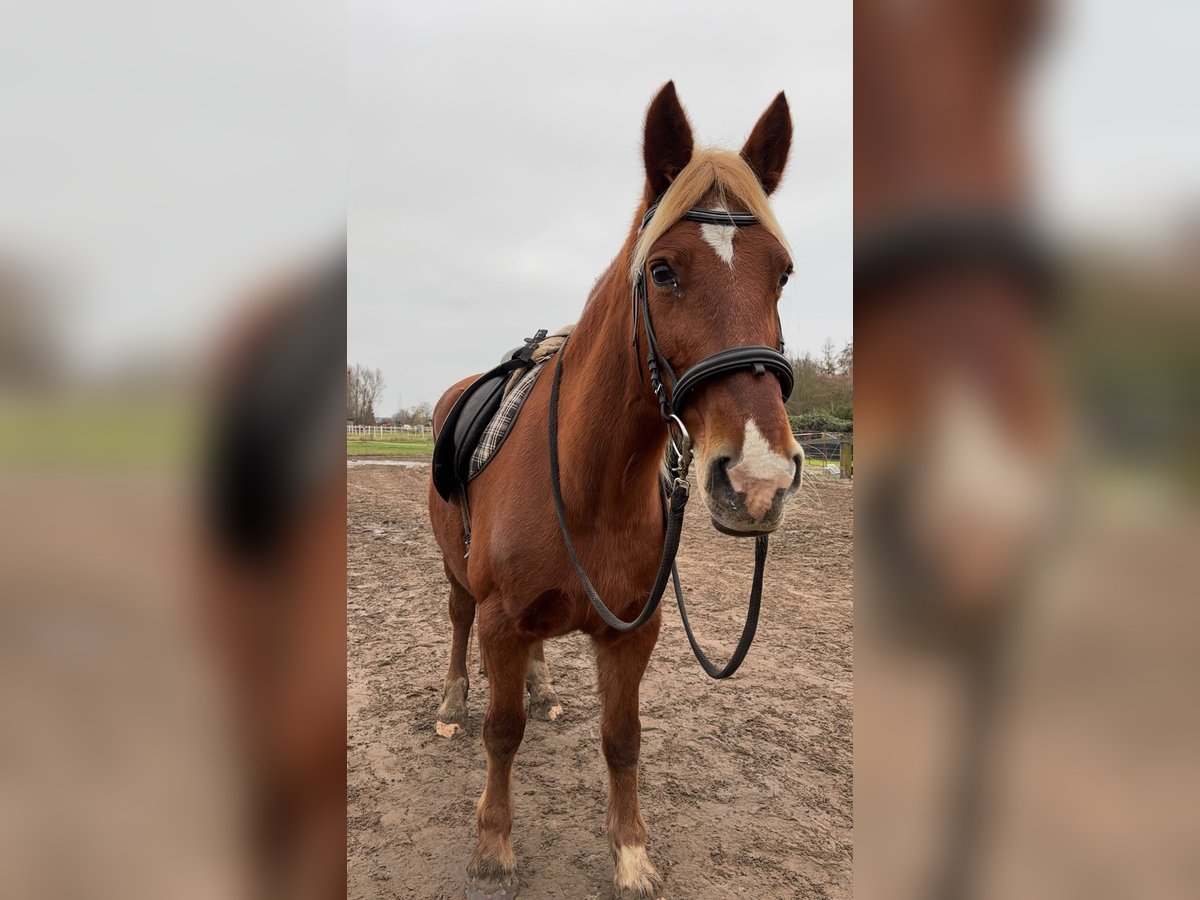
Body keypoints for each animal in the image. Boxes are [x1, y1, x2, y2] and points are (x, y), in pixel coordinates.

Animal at [427, 81, 801, 897]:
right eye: (662, 271)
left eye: (783, 273)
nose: (757, 479)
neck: (588, 483)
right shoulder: (501, 620)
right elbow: (502, 733)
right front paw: (493, 847)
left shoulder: (634, 630)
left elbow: (622, 739)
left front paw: (631, 853)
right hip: (457, 577)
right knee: (458, 625)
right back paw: (451, 701)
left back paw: (540, 687)